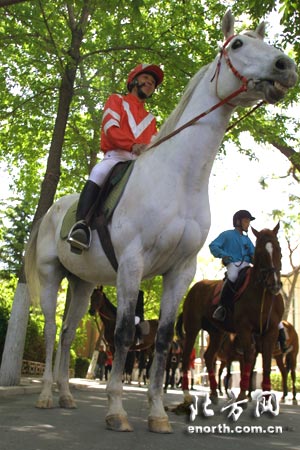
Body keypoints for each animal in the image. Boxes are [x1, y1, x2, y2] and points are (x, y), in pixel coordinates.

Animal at [177, 223, 284, 402]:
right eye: (260, 252)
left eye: (279, 249)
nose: (274, 284)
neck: (263, 294)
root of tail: (195, 288)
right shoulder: (245, 329)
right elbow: (248, 357)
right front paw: (242, 395)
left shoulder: (271, 331)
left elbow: (267, 363)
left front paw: (267, 397)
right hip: (192, 329)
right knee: (186, 357)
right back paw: (186, 394)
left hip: (217, 332)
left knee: (208, 356)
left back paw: (214, 392)